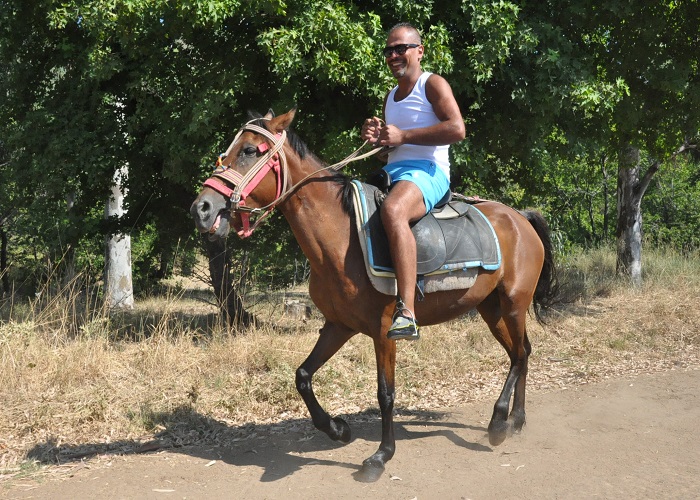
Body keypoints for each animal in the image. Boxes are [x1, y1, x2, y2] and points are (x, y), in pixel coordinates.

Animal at [190, 107, 556, 482]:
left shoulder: (384, 331)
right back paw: (516, 420)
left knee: (520, 356)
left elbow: (385, 393)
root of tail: (519, 217)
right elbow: (303, 376)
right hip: (491, 308)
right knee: (522, 352)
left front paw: (381, 456)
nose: (202, 208)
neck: (341, 236)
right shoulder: (339, 325)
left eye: (250, 150)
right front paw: (338, 429)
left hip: (513, 303)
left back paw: (499, 423)